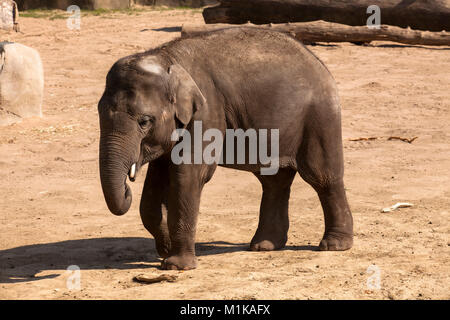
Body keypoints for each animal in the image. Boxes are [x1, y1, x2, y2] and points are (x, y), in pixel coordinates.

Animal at [99, 28, 356, 272]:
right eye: (99, 114)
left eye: (144, 121)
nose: (127, 188)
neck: (166, 57)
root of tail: (318, 61)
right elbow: (155, 185)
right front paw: (165, 249)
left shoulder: (206, 112)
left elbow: (189, 175)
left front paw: (176, 265)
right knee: (274, 180)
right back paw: (264, 246)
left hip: (319, 115)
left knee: (321, 176)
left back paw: (334, 246)